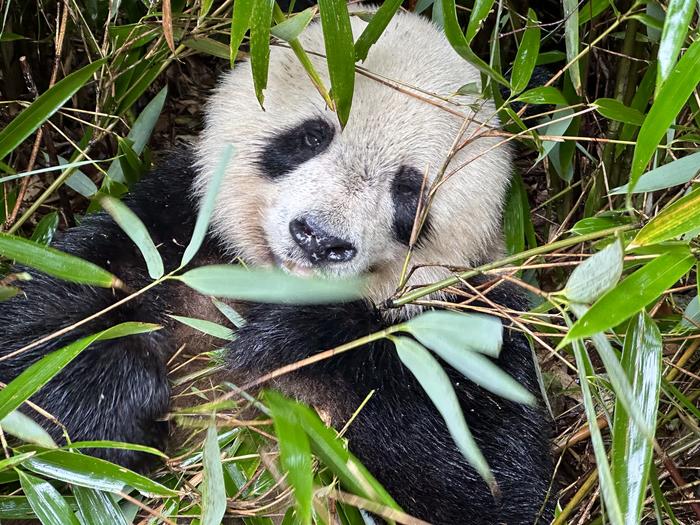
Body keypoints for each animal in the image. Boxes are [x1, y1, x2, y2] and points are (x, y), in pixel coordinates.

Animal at [1, 9, 556, 524]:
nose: (319, 239)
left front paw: (290, 339)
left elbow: (484, 480)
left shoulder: (479, 327)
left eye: (409, 190)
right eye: (312, 137)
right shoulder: (169, 232)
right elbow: (39, 339)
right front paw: (131, 407)